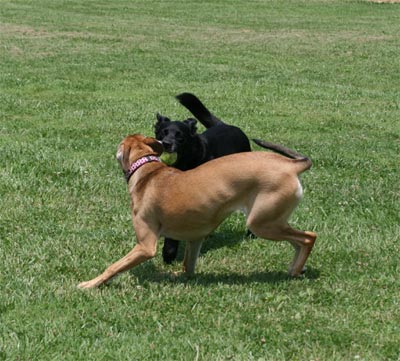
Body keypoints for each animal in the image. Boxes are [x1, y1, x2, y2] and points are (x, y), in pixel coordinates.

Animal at [77, 134, 316, 288]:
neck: (147, 170)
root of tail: (291, 165)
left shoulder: (145, 246)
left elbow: (113, 267)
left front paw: (90, 284)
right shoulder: (195, 238)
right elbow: (187, 266)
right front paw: (179, 276)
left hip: (261, 223)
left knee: (308, 237)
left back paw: (295, 270)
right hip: (272, 221)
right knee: (298, 242)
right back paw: (296, 268)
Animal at [155, 92, 250, 262]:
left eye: (180, 136)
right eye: (163, 132)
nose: (166, 143)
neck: (186, 162)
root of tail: (226, 125)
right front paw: (169, 253)